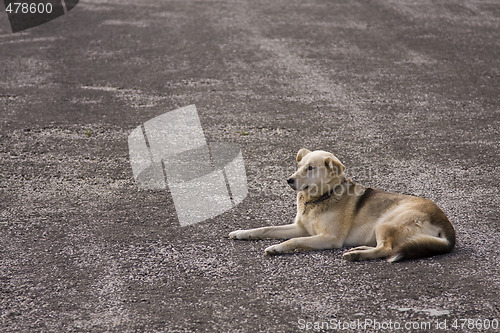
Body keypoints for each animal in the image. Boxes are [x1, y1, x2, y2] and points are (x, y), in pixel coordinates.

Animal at [229, 148, 456, 262]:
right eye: (299, 166)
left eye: (310, 168)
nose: (289, 180)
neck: (320, 198)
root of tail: (445, 223)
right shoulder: (301, 227)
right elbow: (265, 228)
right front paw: (241, 233)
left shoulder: (329, 238)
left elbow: (293, 241)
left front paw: (277, 248)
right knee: (385, 246)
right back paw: (359, 248)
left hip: (386, 222)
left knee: (387, 249)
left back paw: (357, 255)